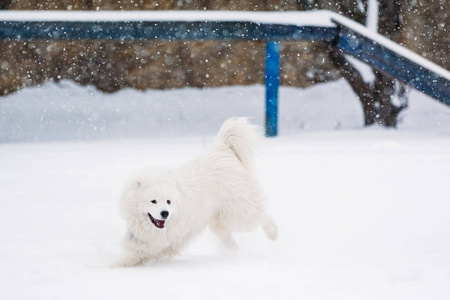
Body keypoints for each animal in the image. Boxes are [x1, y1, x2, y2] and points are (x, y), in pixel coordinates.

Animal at [114, 117, 276, 268]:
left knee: (260, 215)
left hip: (236, 212)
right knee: (228, 235)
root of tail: (222, 148)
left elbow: (136, 252)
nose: (165, 213)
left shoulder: (163, 238)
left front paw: (115, 265)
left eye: (168, 201)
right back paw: (234, 253)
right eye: (153, 201)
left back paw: (273, 233)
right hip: (217, 219)